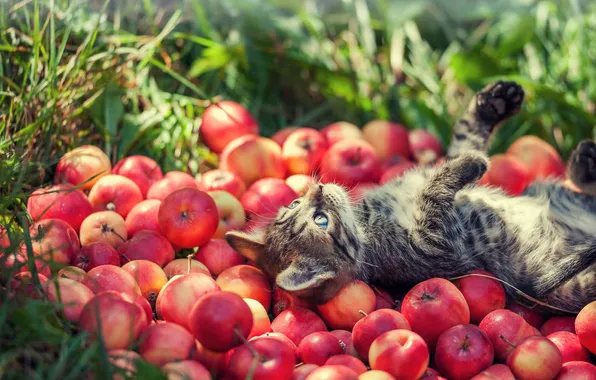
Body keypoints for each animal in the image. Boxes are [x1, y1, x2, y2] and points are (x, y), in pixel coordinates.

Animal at [225, 81, 596, 314]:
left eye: (293, 204)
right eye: (321, 220)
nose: (316, 190)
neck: (366, 216)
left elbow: (463, 138)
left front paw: (494, 103)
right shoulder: (435, 246)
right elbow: (437, 188)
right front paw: (470, 163)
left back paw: (584, 161)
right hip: (567, 286)